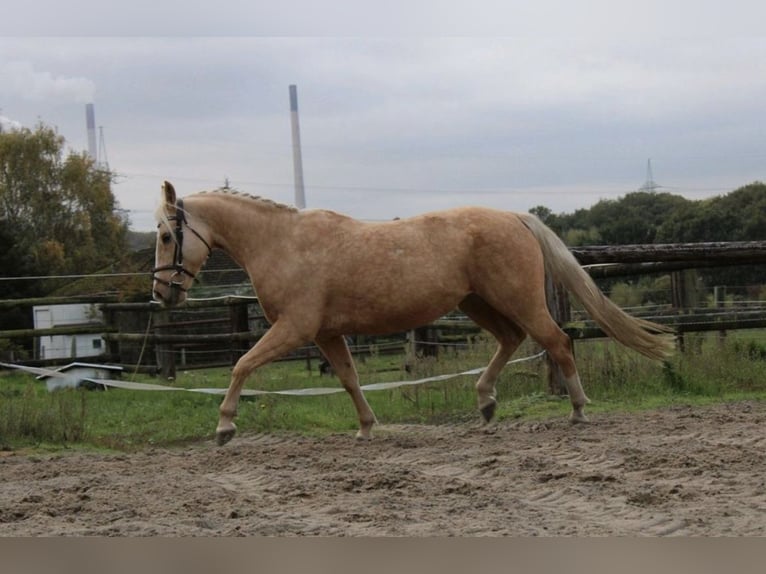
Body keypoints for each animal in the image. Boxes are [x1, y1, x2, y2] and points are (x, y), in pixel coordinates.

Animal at [153, 182, 676, 448]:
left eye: (165, 235)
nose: (162, 294)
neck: (284, 243)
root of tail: (515, 217)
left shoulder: (295, 328)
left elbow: (241, 365)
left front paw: (224, 427)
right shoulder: (325, 334)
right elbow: (349, 379)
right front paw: (366, 426)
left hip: (517, 300)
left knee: (558, 342)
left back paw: (578, 410)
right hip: (476, 302)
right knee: (511, 340)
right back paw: (485, 404)